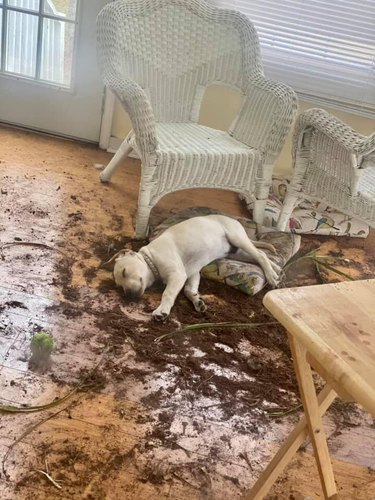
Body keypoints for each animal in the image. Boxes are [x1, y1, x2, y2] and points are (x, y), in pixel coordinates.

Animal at [104, 215, 280, 320]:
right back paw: (276, 269)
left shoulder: (177, 275)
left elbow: (168, 293)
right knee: (259, 256)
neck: (151, 259)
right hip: (235, 253)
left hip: (237, 238)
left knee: (260, 255)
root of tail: (232, 218)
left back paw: (272, 276)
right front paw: (197, 301)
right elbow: (189, 290)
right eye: (119, 286)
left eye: (124, 271)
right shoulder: (193, 274)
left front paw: (162, 310)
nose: (128, 295)